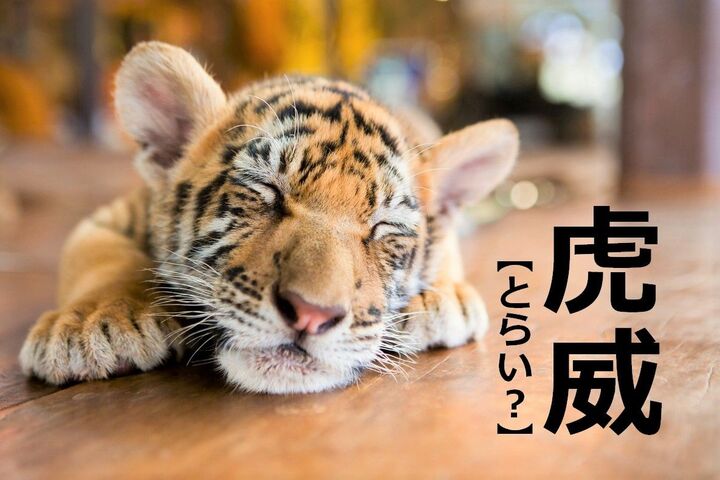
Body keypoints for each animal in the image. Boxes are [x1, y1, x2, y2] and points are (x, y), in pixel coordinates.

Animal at [18, 41, 518, 394]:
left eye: (382, 228)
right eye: (267, 191)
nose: (312, 315)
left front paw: (443, 298)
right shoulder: (108, 217)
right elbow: (100, 257)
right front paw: (91, 324)